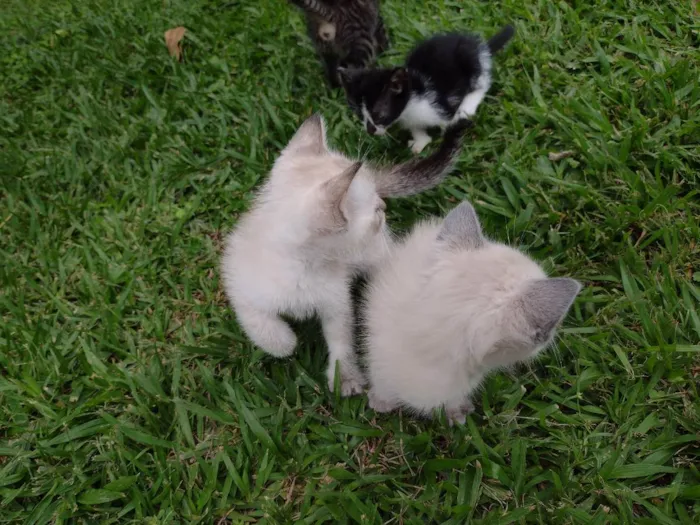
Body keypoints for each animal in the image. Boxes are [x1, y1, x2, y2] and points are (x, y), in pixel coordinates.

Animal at [221, 113, 468, 392]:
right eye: (375, 211)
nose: (383, 206)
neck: (305, 269)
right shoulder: (239, 285)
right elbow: (260, 324)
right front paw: (286, 343)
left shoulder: (337, 302)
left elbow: (341, 338)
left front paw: (345, 376)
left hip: (377, 253)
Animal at [340, 25, 516, 152]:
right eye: (358, 114)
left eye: (379, 115)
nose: (370, 131)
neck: (411, 104)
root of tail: (478, 46)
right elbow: (416, 127)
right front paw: (421, 142)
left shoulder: (440, 104)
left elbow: (448, 121)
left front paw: (449, 138)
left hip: (470, 60)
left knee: (481, 82)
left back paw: (468, 105)